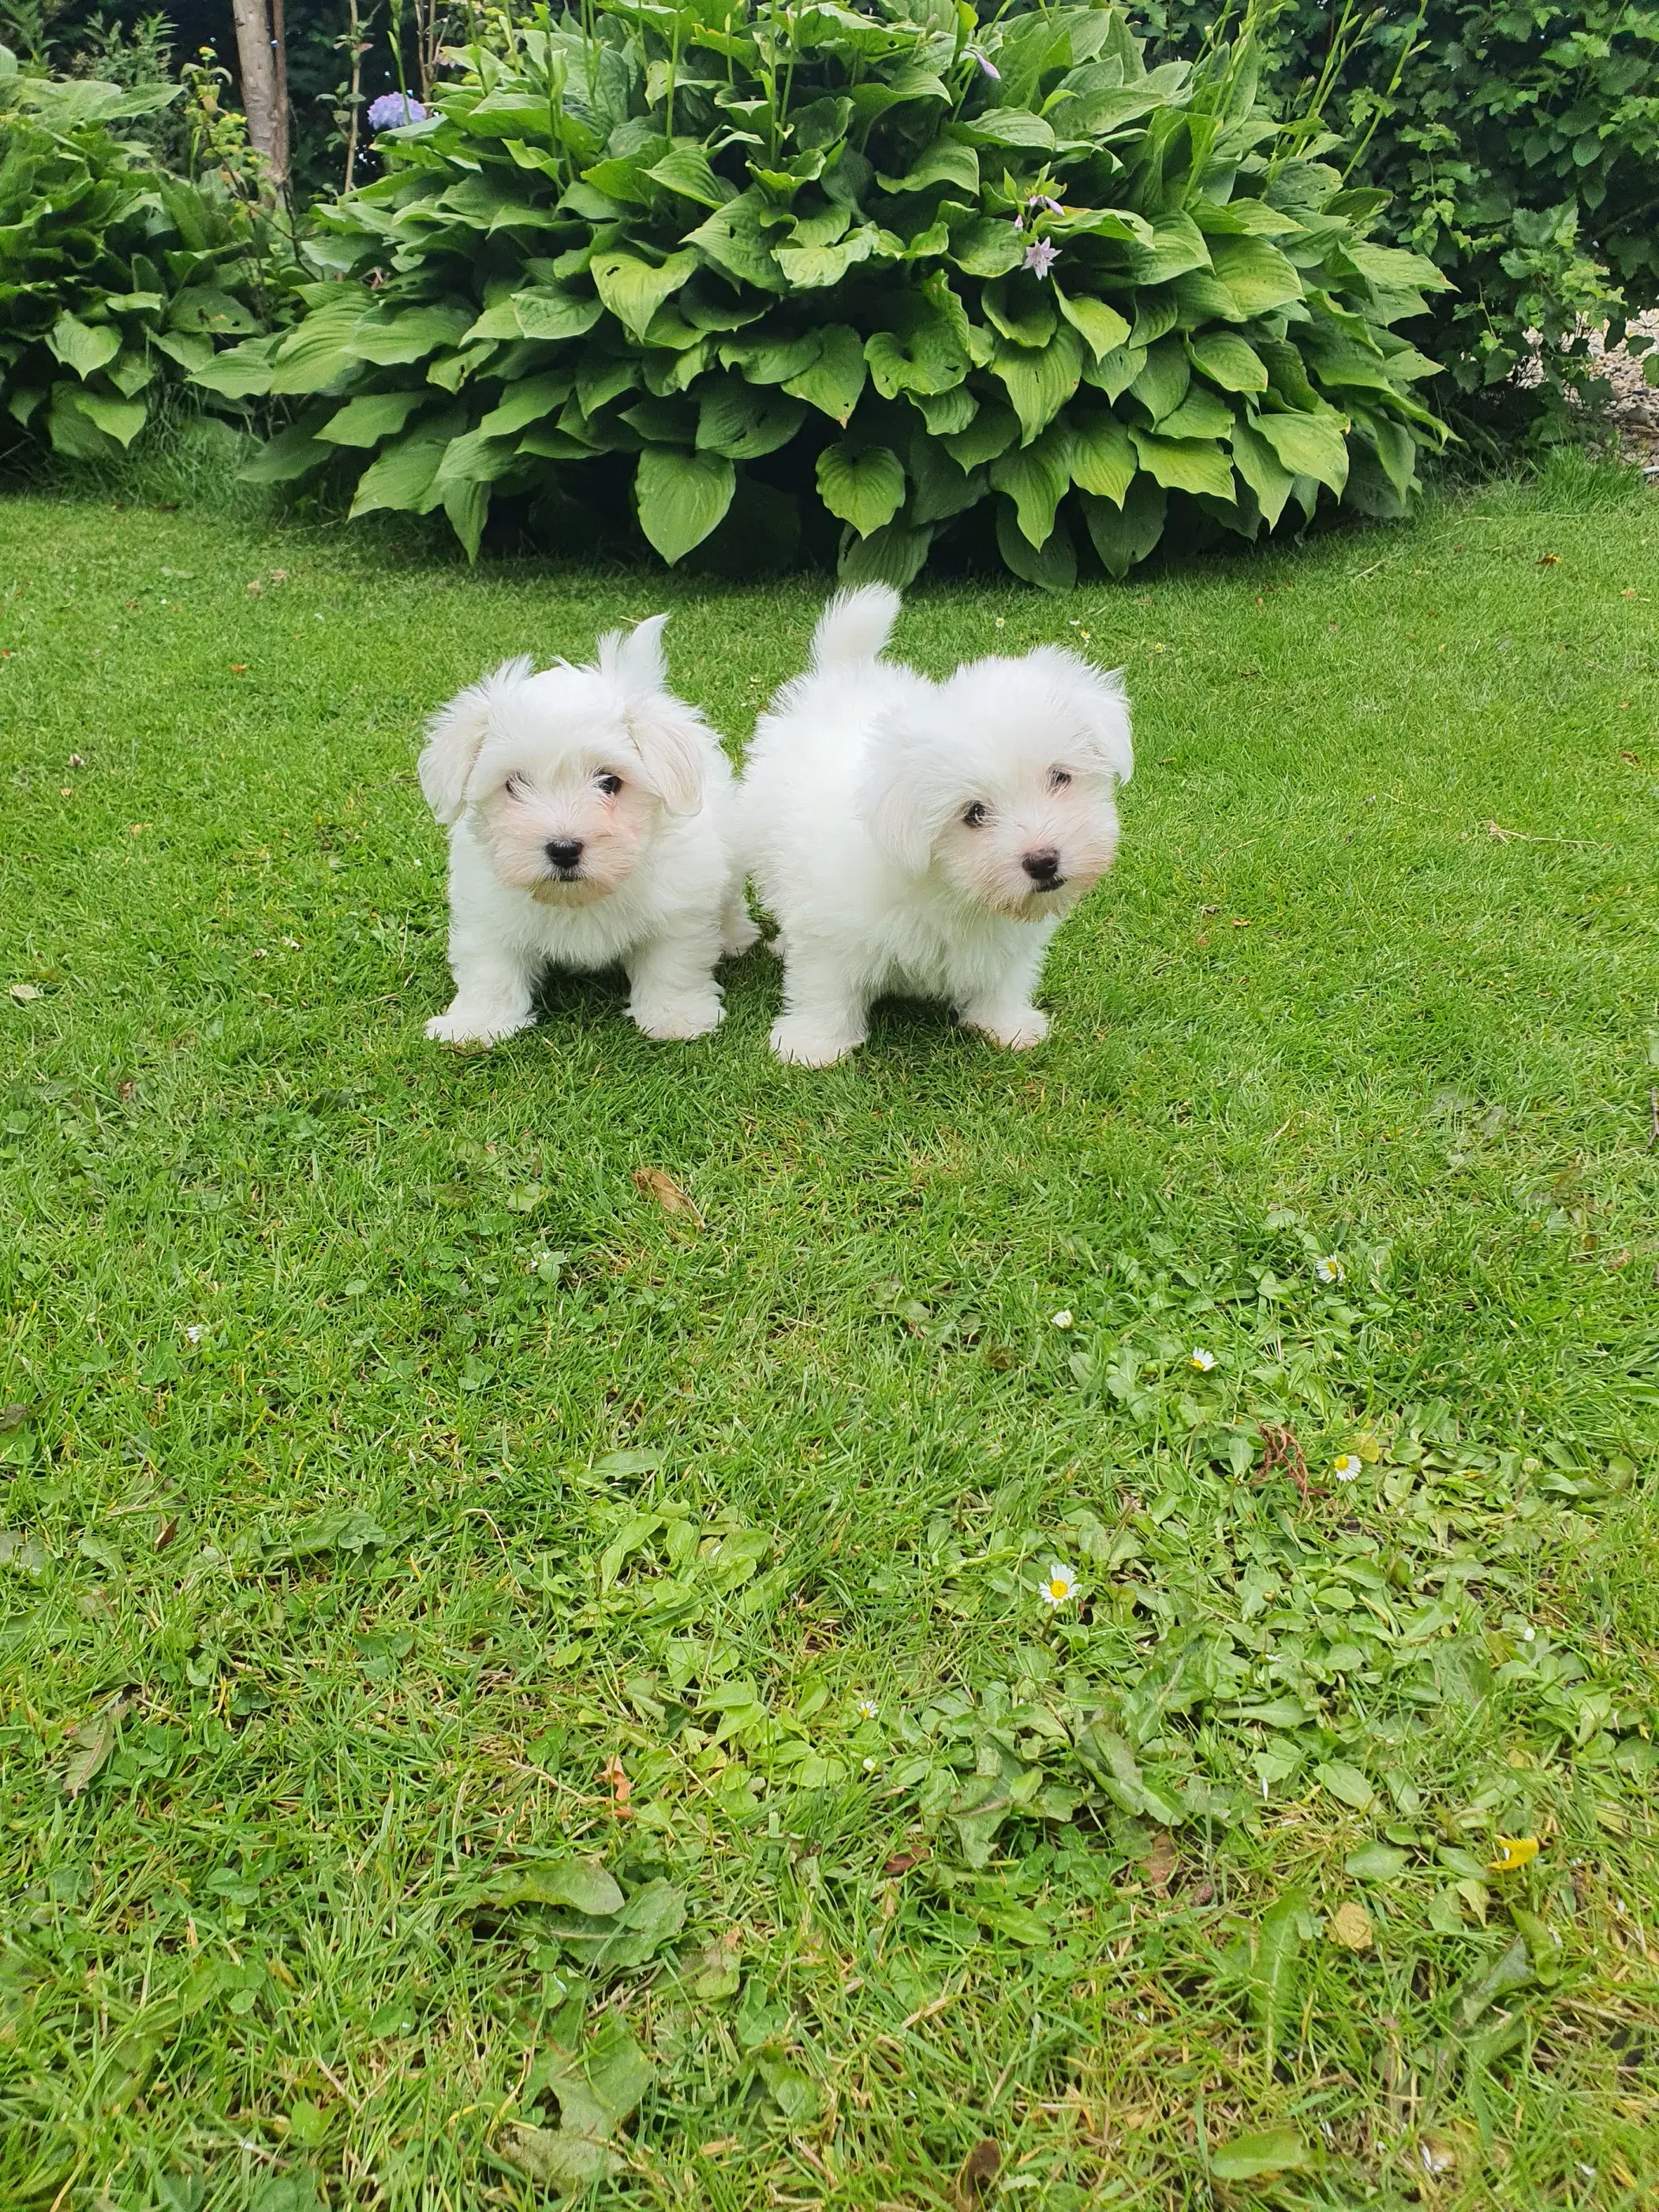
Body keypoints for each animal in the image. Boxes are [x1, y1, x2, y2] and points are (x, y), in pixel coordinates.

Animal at [417, 614, 756, 1044]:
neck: (581, 897)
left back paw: (735, 936)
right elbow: (489, 968)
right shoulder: (487, 909)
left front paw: (675, 1018)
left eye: (609, 782)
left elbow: (672, 963)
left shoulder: (680, 906)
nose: (563, 849)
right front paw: (477, 1024)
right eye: (514, 784)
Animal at [747, 588, 1141, 1071]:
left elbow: (1003, 979)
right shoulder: (831, 929)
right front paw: (814, 1045)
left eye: (1060, 777)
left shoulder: (1006, 943)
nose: (1043, 861)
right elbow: (825, 987)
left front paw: (1006, 1026)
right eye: (974, 813)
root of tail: (844, 674)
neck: (950, 889)